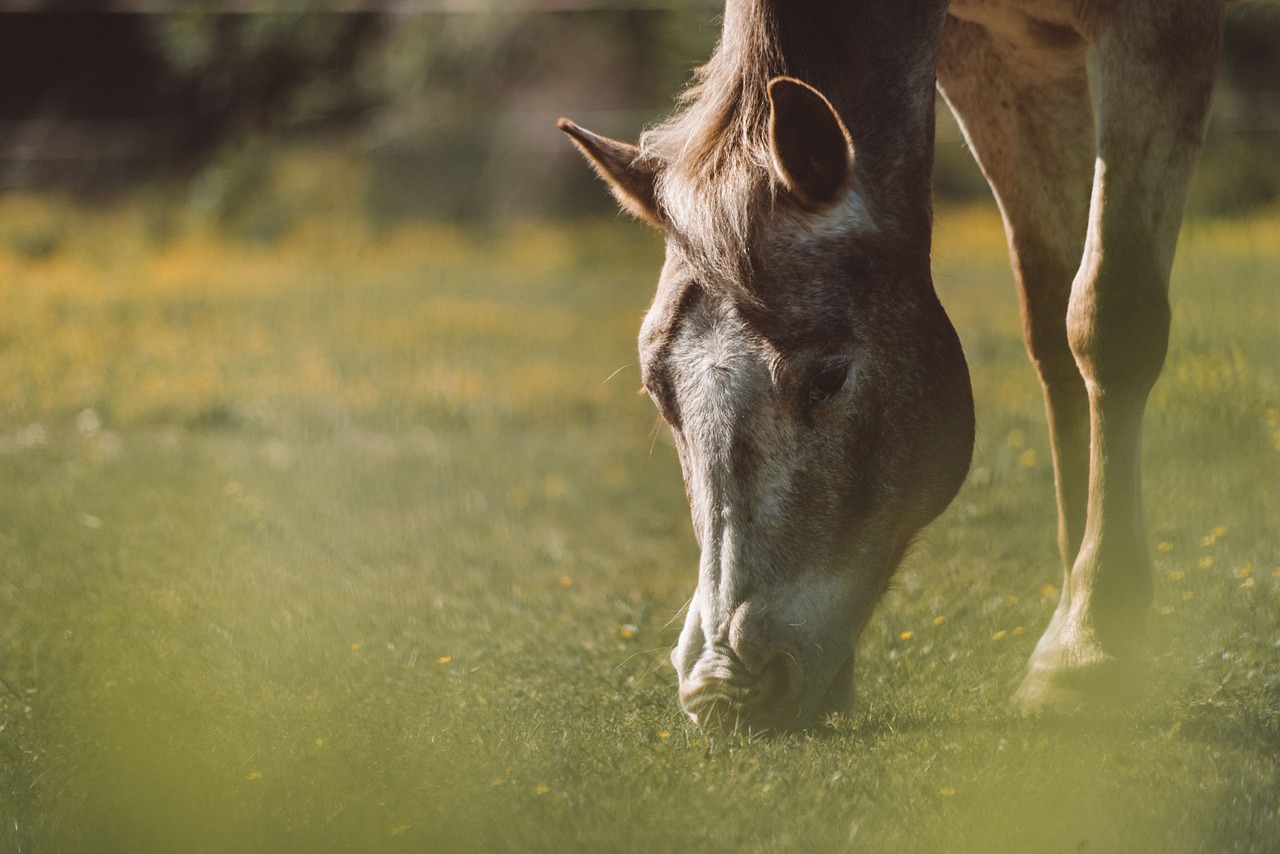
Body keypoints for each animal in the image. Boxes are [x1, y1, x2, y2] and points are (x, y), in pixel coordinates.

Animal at [558, 1, 1218, 737]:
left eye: (827, 378)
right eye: (659, 392)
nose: (724, 691)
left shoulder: (1157, 30)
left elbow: (1107, 319)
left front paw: (1088, 646)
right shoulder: (1002, 55)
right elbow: (1055, 325)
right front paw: (1088, 610)